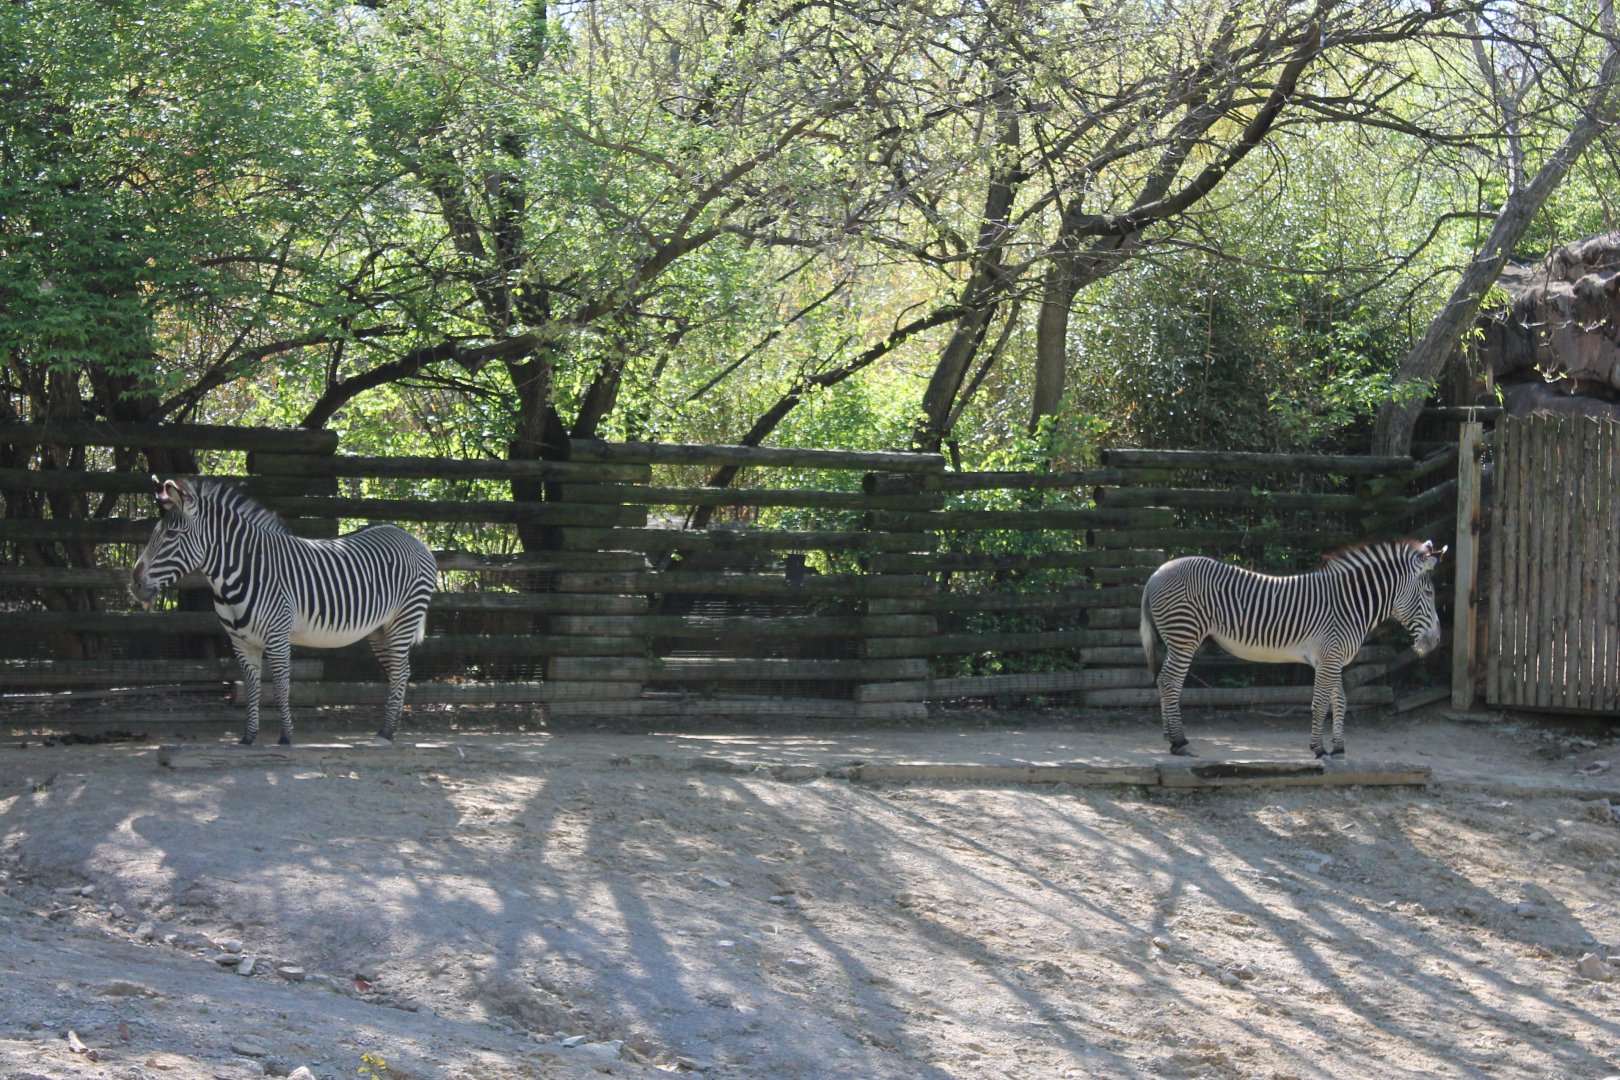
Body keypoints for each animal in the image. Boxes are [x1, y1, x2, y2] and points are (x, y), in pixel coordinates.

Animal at [130, 477, 437, 746]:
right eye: (155, 533)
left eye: (171, 534)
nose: (135, 585)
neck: (242, 571)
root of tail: (410, 537)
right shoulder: (240, 641)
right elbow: (252, 688)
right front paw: (248, 737)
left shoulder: (277, 636)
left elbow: (280, 687)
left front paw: (286, 737)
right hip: (380, 629)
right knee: (398, 672)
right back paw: (390, 730)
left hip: (403, 619)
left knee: (401, 671)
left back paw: (386, 733)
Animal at [1140, 539, 1445, 758]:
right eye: (1429, 592)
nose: (1436, 642)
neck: (1349, 604)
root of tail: (1155, 574)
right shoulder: (1329, 657)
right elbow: (1320, 703)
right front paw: (1319, 750)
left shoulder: (1332, 659)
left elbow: (1340, 701)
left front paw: (1339, 748)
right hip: (1184, 636)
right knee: (1169, 682)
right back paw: (1179, 742)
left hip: (1178, 638)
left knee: (1165, 682)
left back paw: (1169, 737)